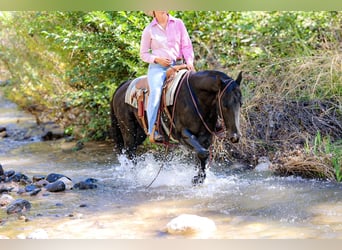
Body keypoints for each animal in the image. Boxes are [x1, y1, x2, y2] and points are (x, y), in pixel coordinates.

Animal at [111, 70, 242, 184]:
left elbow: (200, 156)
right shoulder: (183, 134)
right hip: (128, 129)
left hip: (140, 133)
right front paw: (197, 179)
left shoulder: (205, 138)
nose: (235, 136)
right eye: (224, 105)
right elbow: (203, 153)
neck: (197, 99)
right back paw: (134, 176)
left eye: (241, 103)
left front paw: (199, 178)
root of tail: (122, 86)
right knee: (130, 151)